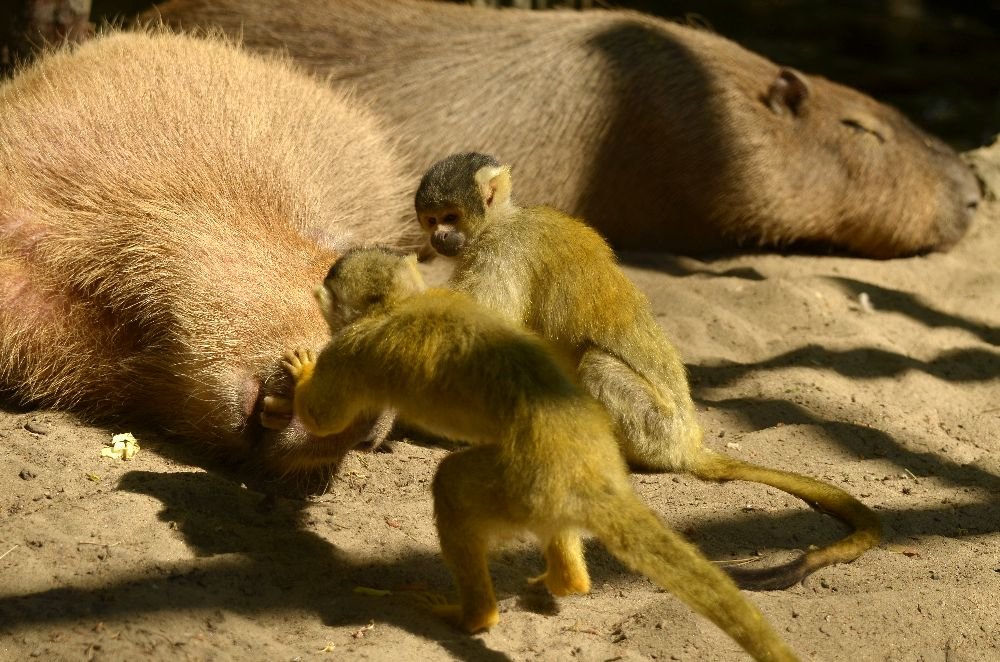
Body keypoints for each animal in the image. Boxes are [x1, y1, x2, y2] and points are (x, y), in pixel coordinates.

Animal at [282, 246, 796, 660]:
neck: (401, 304)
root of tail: (593, 472)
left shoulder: (351, 347)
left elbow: (324, 418)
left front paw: (299, 380)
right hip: (548, 484)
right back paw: (565, 582)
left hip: (521, 484)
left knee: (451, 485)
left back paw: (475, 616)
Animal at [414, 154, 884, 592]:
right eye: (431, 221)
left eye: (450, 218)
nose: (438, 237)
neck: (503, 219)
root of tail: (689, 443)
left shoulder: (503, 249)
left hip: (657, 430)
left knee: (598, 365)